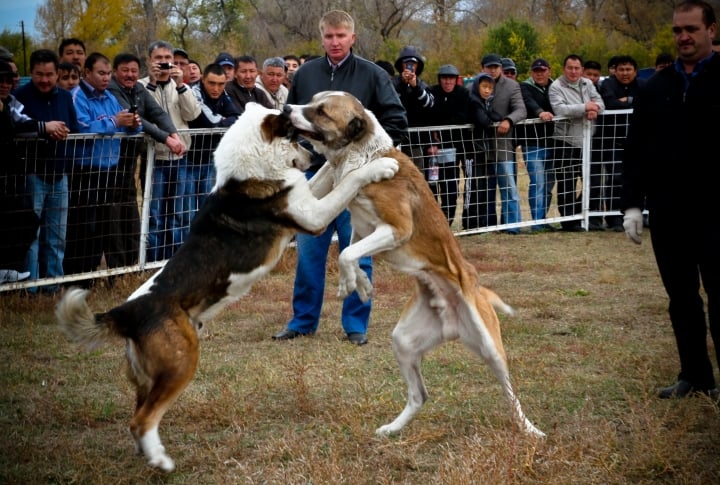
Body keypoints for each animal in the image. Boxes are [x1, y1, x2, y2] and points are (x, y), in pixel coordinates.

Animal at [56, 102, 400, 468]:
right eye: (293, 137)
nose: (309, 156)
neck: (249, 173)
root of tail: (126, 311)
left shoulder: (307, 196)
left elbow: (328, 178)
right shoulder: (314, 217)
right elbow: (349, 181)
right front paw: (381, 166)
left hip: (148, 376)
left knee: (139, 416)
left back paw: (148, 454)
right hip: (180, 364)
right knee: (142, 419)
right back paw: (162, 461)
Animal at [284, 90, 544, 434]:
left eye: (322, 111)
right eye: (312, 100)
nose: (287, 107)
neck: (362, 157)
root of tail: (452, 320)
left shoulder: (396, 228)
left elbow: (346, 253)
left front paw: (351, 282)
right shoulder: (362, 229)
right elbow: (352, 253)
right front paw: (359, 283)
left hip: (489, 345)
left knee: (510, 393)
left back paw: (529, 429)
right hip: (404, 342)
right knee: (420, 395)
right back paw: (393, 429)